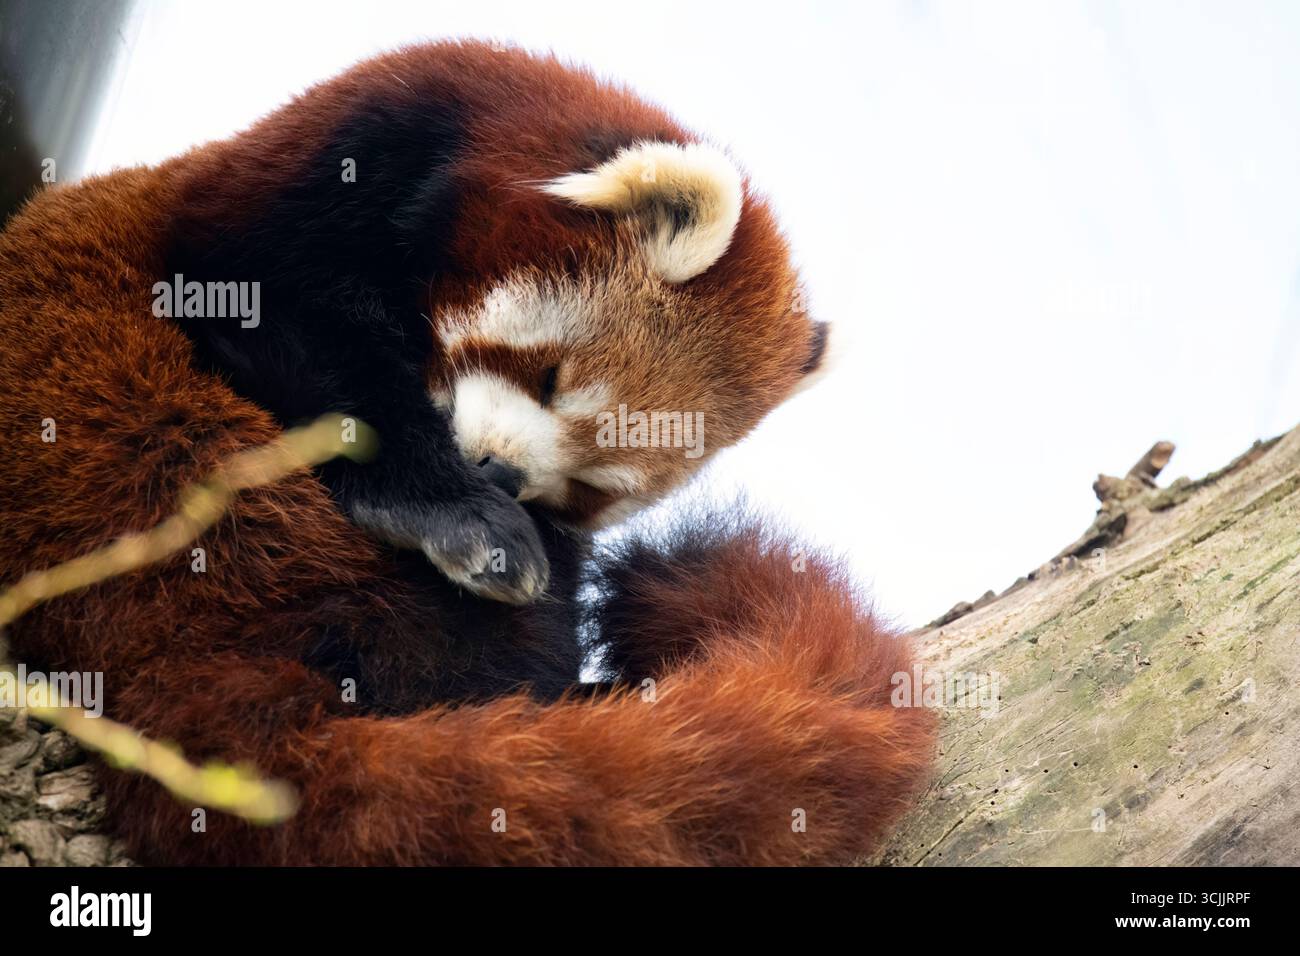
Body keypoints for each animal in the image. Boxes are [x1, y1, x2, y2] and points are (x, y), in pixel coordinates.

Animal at [0, 41, 935, 865]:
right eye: (552, 378)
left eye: (593, 485)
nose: (504, 476)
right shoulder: (346, 146)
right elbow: (283, 315)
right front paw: (457, 515)